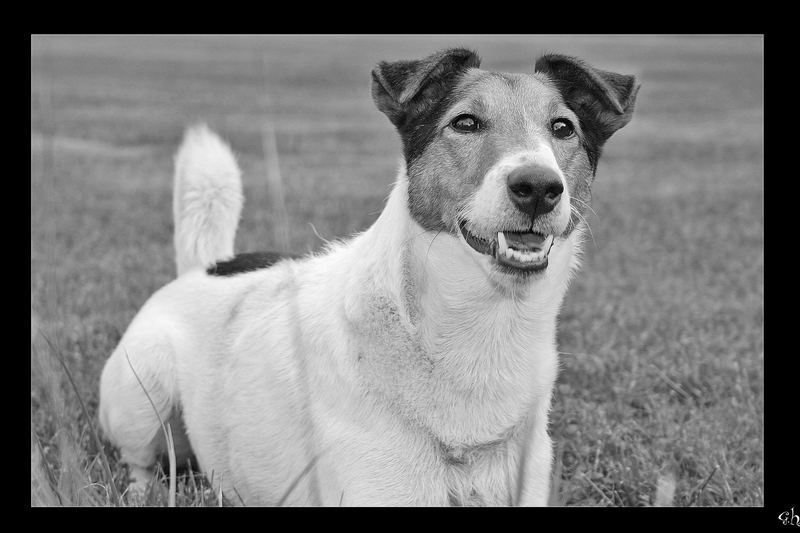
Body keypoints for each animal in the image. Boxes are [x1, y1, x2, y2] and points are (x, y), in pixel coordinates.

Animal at [98, 47, 636, 504]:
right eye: (466, 122)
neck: (482, 328)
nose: (539, 186)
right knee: (140, 463)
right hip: (144, 386)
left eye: (563, 128)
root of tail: (209, 265)